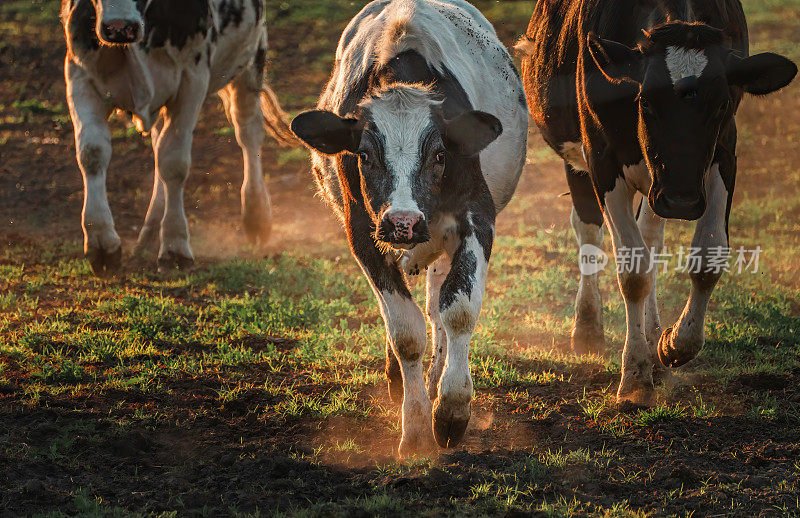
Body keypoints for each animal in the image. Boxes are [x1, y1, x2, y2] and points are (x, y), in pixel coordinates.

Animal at [60, 0, 296, 276]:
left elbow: (174, 163)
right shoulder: (79, 74)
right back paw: (150, 232)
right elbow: (92, 152)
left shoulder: (192, 79)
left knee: (248, 131)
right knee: (158, 145)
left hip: (250, 60)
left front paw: (175, 246)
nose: (119, 27)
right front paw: (101, 242)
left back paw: (256, 215)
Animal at [290, 0, 528, 456]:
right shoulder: (363, 232)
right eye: (364, 155)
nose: (403, 223)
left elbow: (458, 310)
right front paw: (415, 427)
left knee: (437, 303)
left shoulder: (477, 218)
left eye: (439, 154)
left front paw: (452, 409)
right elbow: (404, 330)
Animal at [516, 0, 796, 406]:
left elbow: (707, 255)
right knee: (588, 229)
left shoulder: (724, 152)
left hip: (656, 186)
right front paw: (634, 378)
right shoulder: (602, 159)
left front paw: (673, 345)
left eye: (721, 104)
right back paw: (588, 328)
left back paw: (654, 345)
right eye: (645, 101)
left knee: (649, 240)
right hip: (582, 161)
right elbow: (633, 271)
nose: (681, 200)